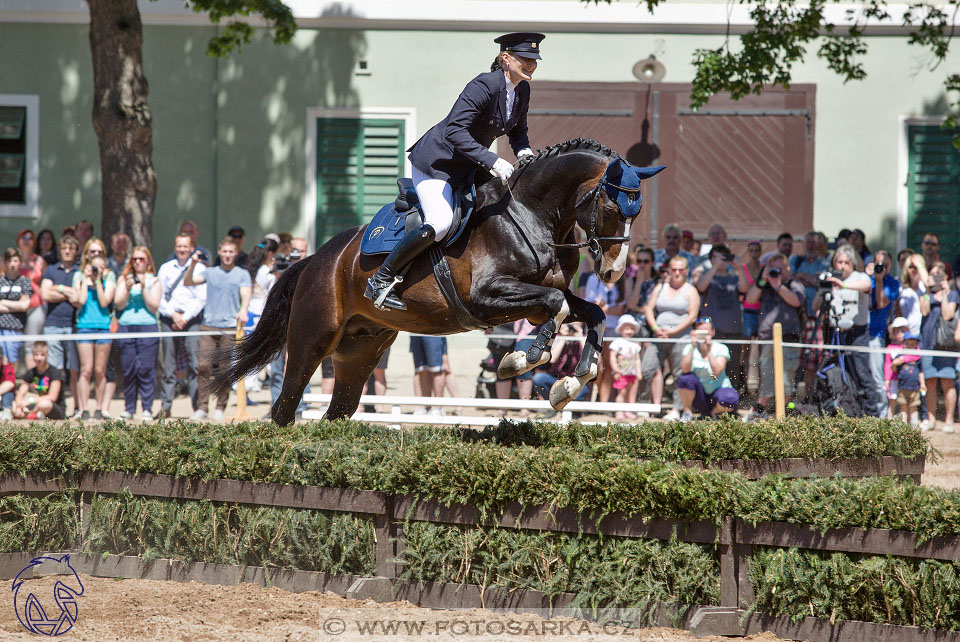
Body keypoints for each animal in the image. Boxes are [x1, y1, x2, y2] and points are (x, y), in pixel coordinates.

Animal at [216, 138, 668, 422]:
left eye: (636, 211)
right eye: (611, 208)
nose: (613, 272)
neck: (532, 216)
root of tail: (314, 259)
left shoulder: (542, 297)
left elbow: (592, 314)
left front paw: (570, 384)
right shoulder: (488, 297)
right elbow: (555, 310)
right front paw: (520, 359)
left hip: (360, 349)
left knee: (337, 411)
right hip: (312, 337)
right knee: (285, 406)